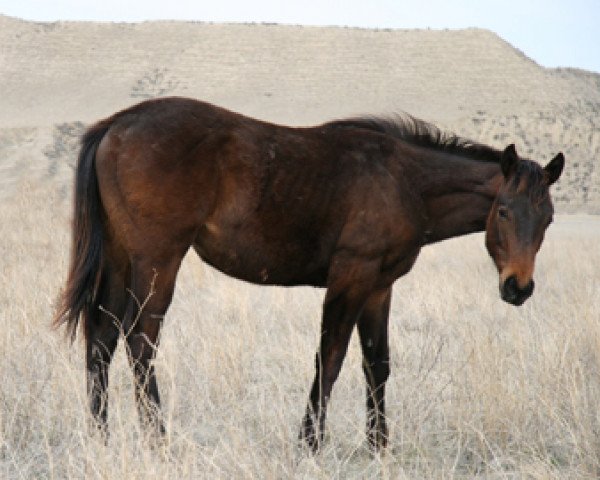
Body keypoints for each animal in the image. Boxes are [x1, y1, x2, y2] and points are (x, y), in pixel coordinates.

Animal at [51, 95, 564, 452]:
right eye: (503, 211)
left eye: (548, 218)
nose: (518, 288)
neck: (405, 182)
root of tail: (116, 124)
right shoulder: (350, 279)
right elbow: (330, 360)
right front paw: (311, 444)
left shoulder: (378, 288)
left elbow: (377, 365)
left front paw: (379, 447)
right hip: (158, 260)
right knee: (140, 339)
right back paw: (158, 440)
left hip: (120, 260)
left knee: (103, 339)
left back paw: (101, 437)